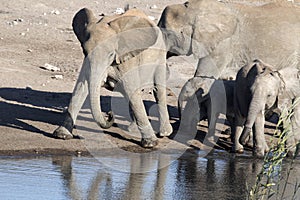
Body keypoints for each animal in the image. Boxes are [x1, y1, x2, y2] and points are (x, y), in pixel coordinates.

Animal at [52, 7, 172, 148]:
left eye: (110, 54)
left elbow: (131, 90)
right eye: (84, 51)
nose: (109, 114)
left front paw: (150, 144)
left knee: (158, 90)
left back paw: (164, 133)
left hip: (160, 56)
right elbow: (80, 88)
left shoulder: (126, 59)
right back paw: (132, 129)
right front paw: (62, 135)